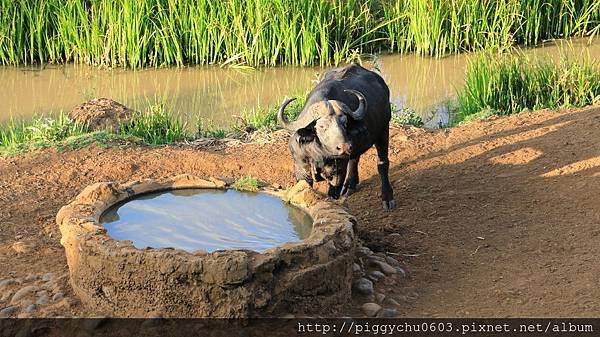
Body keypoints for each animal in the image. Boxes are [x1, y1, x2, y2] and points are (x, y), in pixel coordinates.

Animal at [278, 62, 396, 207]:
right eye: (322, 126)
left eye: (344, 123)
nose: (344, 147)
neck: (318, 153)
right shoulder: (300, 168)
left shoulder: (338, 172)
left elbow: (333, 192)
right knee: (354, 159)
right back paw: (350, 186)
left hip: (384, 130)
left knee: (382, 163)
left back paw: (387, 197)